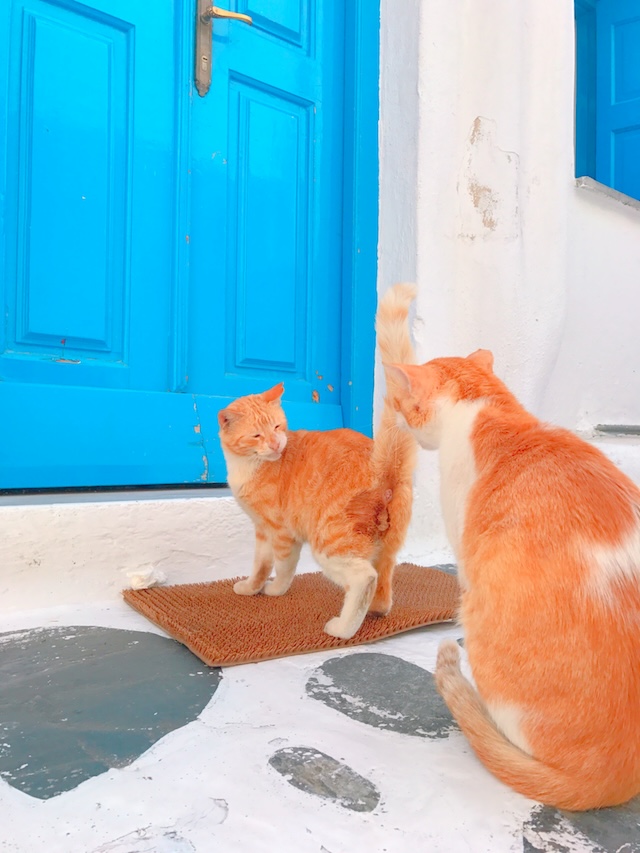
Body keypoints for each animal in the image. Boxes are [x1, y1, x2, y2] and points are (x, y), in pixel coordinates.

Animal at [218, 286, 418, 640]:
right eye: (257, 435)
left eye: (277, 427)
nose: (276, 444)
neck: (245, 466)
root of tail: (383, 466)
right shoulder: (261, 530)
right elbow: (260, 565)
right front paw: (251, 587)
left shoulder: (281, 532)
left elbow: (282, 567)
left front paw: (274, 591)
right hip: (387, 548)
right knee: (383, 586)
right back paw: (374, 612)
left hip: (329, 543)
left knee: (364, 579)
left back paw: (343, 628)